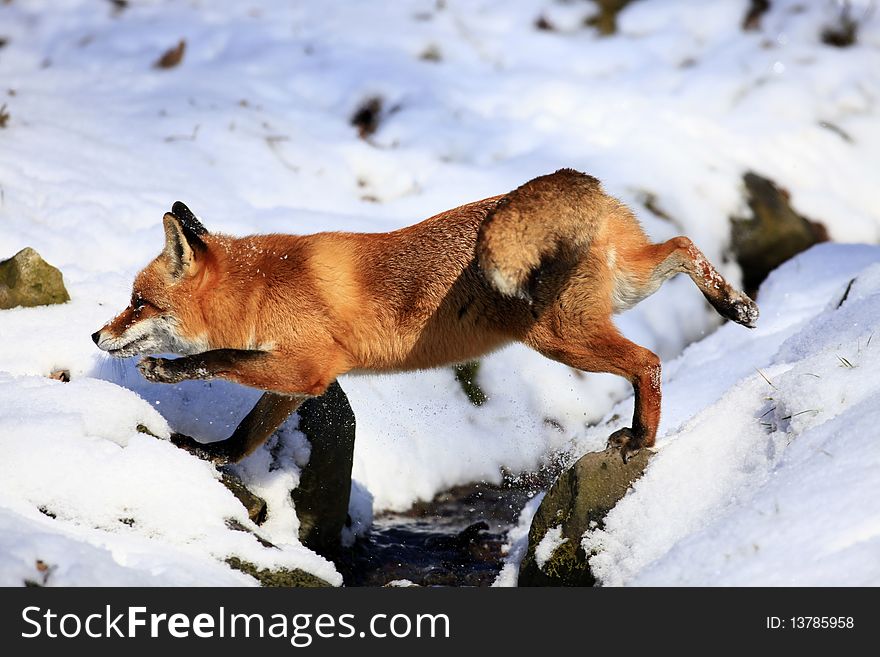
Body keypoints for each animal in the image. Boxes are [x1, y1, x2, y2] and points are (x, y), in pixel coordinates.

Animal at [93, 172, 760, 464]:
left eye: (139, 302)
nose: (96, 333)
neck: (259, 290)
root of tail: (583, 187)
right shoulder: (297, 379)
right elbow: (247, 430)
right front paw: (214, 456)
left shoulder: (307, 367)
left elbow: (214, 359)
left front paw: (165, 370)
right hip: (624, 291)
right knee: (681, 245)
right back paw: (735, 304)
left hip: (563, 338)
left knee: (649, 361)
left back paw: (643, 437)